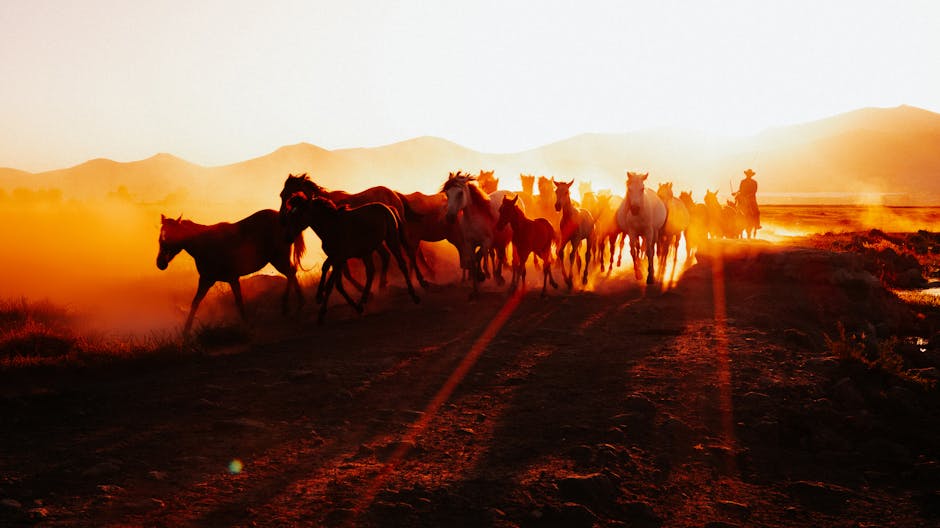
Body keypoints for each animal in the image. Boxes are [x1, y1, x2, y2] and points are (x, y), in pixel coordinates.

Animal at [153, 209, 302, 336]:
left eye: (170, 237)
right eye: (160, 238)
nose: (160, 263)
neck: (205, 244)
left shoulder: (232, 278)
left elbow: (239, 301)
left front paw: (247, 326)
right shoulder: (206, 279)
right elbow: (195, 302)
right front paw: (185, 332)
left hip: (279, 257)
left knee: (291, 273)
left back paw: (288, 307)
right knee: (292, 273)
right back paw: (297, 305)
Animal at [282, 196, 418, 324]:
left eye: (298, 214)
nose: (287, 237)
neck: (332, 227)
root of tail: (387, 208)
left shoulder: (339, 259)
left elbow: (332, 284)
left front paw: (321, 312)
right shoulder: (335, 258)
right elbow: (328, 273)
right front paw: (319, 295)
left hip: (391, 240)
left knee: (401, 264)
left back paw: (414, 295)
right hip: (368, 251)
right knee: (372, 270)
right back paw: (364, 300)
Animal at [440, 172, 500, 300]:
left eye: (460, 193)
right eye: (447, 194)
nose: (450, 217)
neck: (473, 220)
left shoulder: (486, 241)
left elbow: (482, 257)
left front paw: (484, 275)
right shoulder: (469, 243)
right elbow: (473, 261)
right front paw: (475, 290)